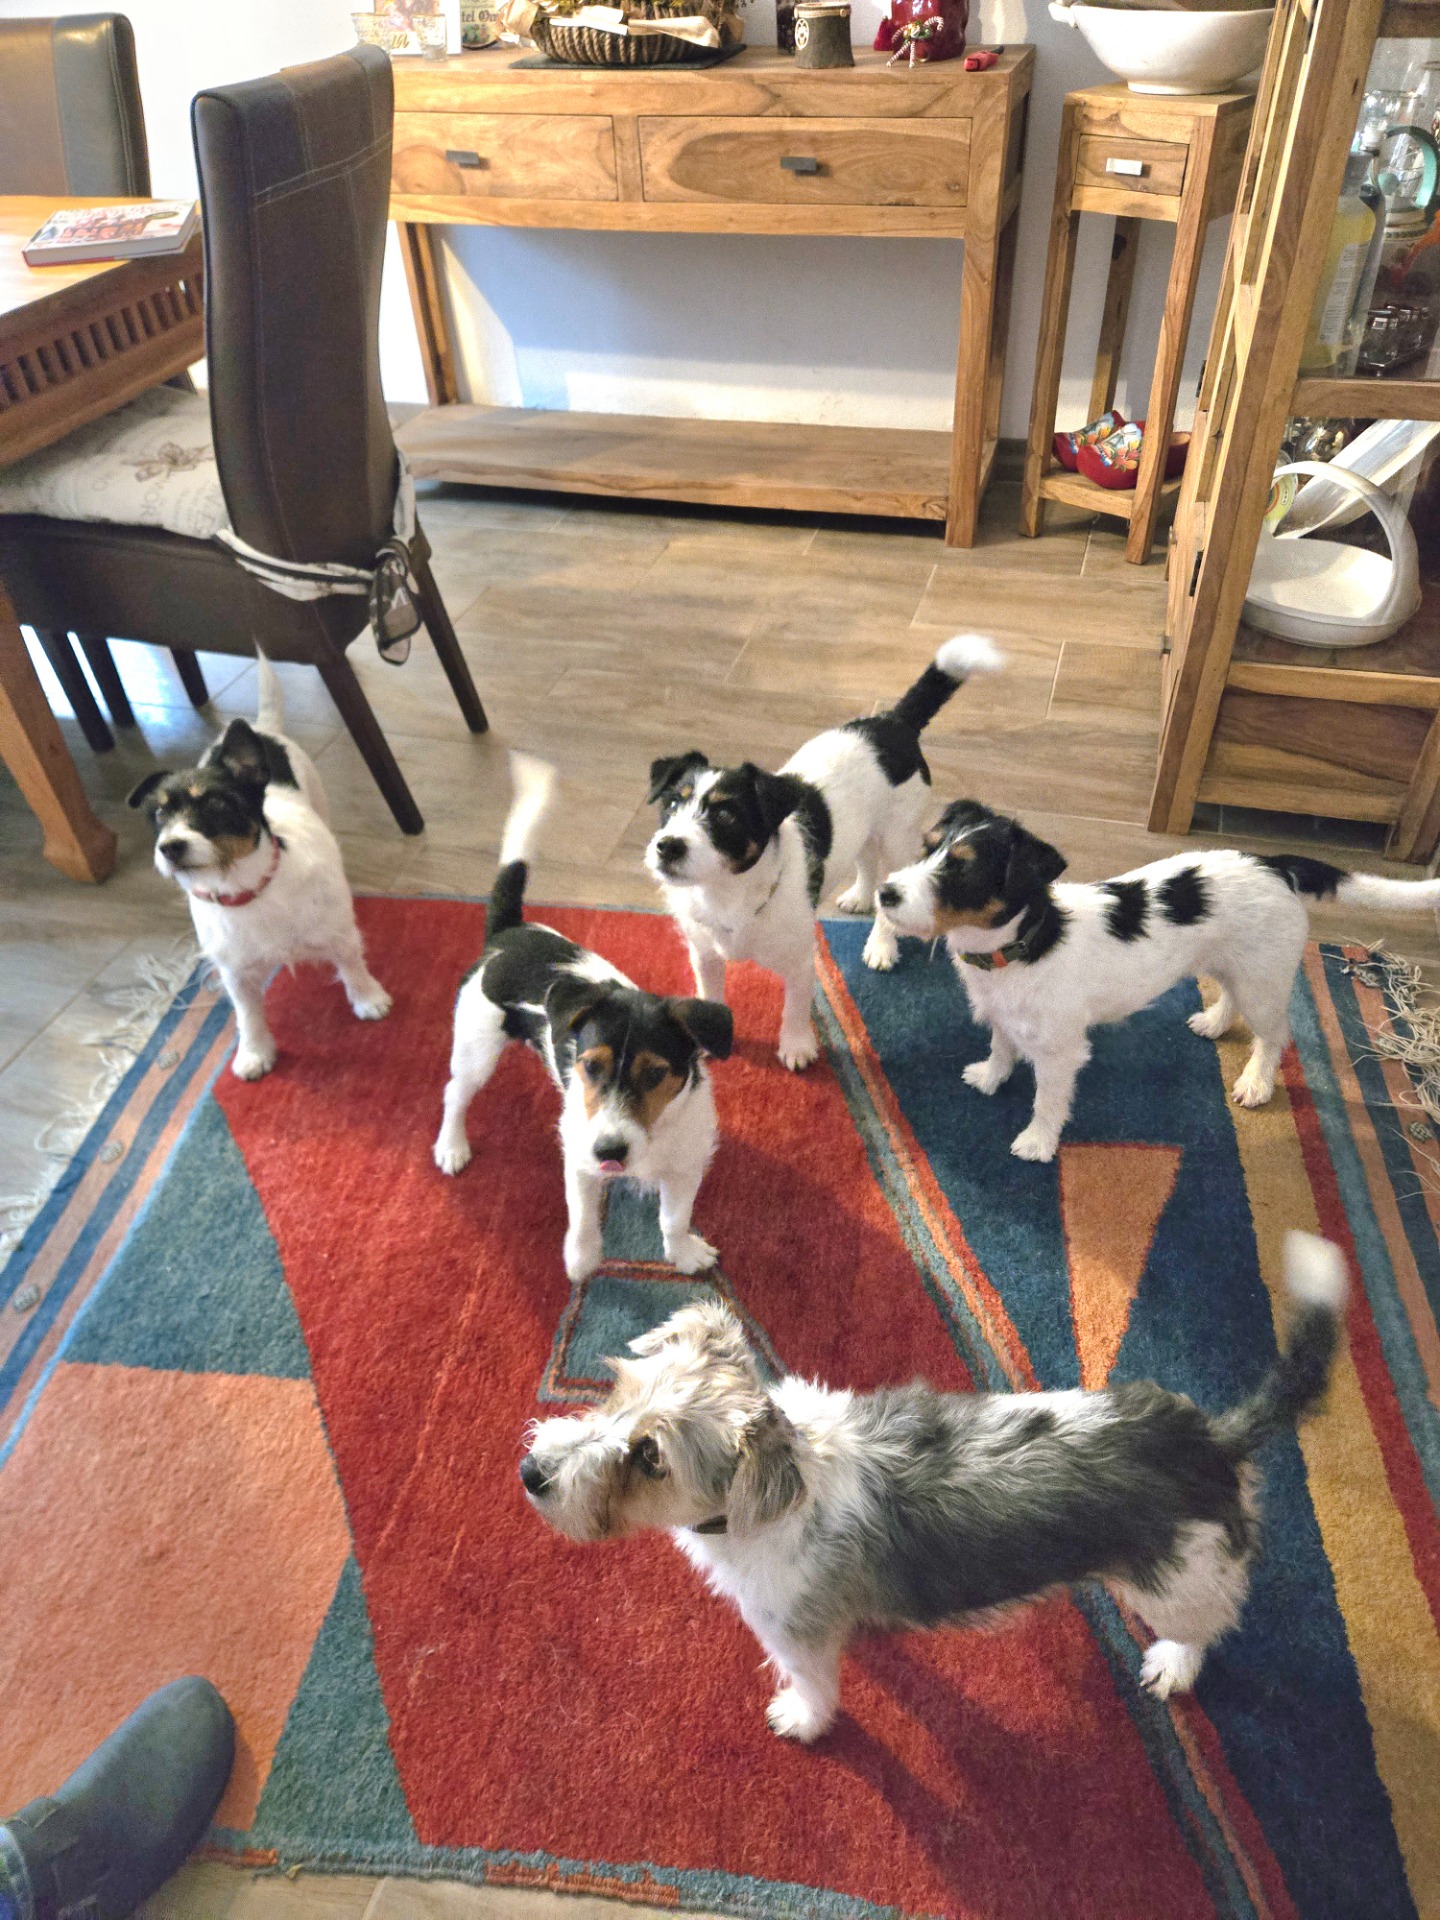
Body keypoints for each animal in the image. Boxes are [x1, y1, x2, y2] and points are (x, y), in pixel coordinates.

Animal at [127, 651, 390, 1080]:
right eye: (159, 814)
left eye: (217, 804)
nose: (170, 847)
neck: (248, 889)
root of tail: (262, 730)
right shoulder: (235, 972)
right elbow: (247, 1013)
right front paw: (254, 1052)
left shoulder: (337, 934)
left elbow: (351, 962)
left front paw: (368, 999)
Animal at [434, 753, 733, 1283]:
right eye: (591, 1066)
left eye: (656, 1074)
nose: (609, 1152)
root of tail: (509, 933)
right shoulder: (578, 1157)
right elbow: (581, 1218)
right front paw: (582, 1260)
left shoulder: (686, 1166)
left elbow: (675, 1217)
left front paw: (683, 1253)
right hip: (476, 1045)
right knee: (456, 1092)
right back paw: (451, 1145)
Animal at [520, 1232, 1345, 1740]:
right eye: (619, 1388)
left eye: (650, 1458)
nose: (532, 1473)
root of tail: (1211, 1440)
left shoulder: (795, 1636)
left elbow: (813, 1687)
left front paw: (801, 1721)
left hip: (1177, 1584)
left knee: (1208, 1625)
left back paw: (1173, 1665)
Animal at [644, 635, 1002, 1071]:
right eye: (671, 804)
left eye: (726, 815)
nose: (667, 846)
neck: (728, 893)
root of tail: (893, 723)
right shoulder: (704, 954)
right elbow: (710, 994)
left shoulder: (801, 960)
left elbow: (796, 1006)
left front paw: (797, 1046)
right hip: (863, 831)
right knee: (865, 862)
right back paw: (860, 895)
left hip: (897, 837)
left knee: (890, 885)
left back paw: (882, 945)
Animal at [875, 799, 1440, 1162]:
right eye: (926, 848)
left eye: (963, 870)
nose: (883, 892)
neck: (1024, 945)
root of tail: (1273, 865)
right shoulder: (1003, 1016)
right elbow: (1000, 1046)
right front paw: (991, 1077)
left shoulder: (1061, 1052)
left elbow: (1048, 1100)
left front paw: (1037, 1142)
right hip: (1229, 962)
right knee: (1229, 995)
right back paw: (1214, 1022)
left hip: (1263, 980)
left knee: (1274, 1034)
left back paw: (1256, 1082)